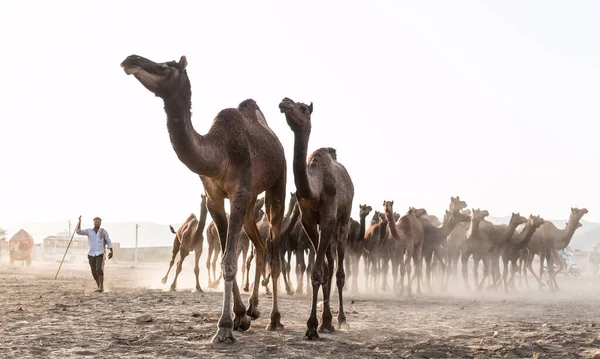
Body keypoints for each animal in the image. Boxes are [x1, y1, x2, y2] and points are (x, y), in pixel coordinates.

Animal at [121, 54, 286, 344]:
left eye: (165, 66)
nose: (131, 59)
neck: (219, 153)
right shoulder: (214, 198)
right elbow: (226, 256)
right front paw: (240, 316)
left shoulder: (239, 192)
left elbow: (229, 260)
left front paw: (224, 327)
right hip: (253, 201)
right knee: (259, 246)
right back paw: (254, 309)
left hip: (277, 183)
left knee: (274, 248)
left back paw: (274, 319)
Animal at [278, 97, 354, 340]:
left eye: (303, 108)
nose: (284, 102)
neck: (316, 187)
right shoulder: (309, 222)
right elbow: (320, 272)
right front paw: (318, 324)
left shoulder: (329, 217)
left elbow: (318, 272)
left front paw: (312, 326)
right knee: (330, 266)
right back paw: (328, 321)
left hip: (344, 220)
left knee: (338, 271)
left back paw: (341, 319)